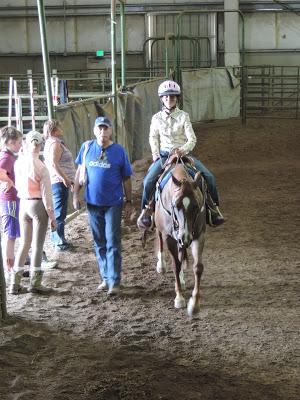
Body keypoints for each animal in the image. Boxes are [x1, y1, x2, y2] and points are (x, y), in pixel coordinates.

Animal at [155, 159, 206, 316]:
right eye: (175, 205)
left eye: (196, 206)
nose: (185, 236)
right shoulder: (170, 238)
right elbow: (176, 265)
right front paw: (179, 298)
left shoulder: (199, 235)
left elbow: (198, 267)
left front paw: (194, 304)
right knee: (160, 239)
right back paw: (161, 265)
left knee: (181, 252)